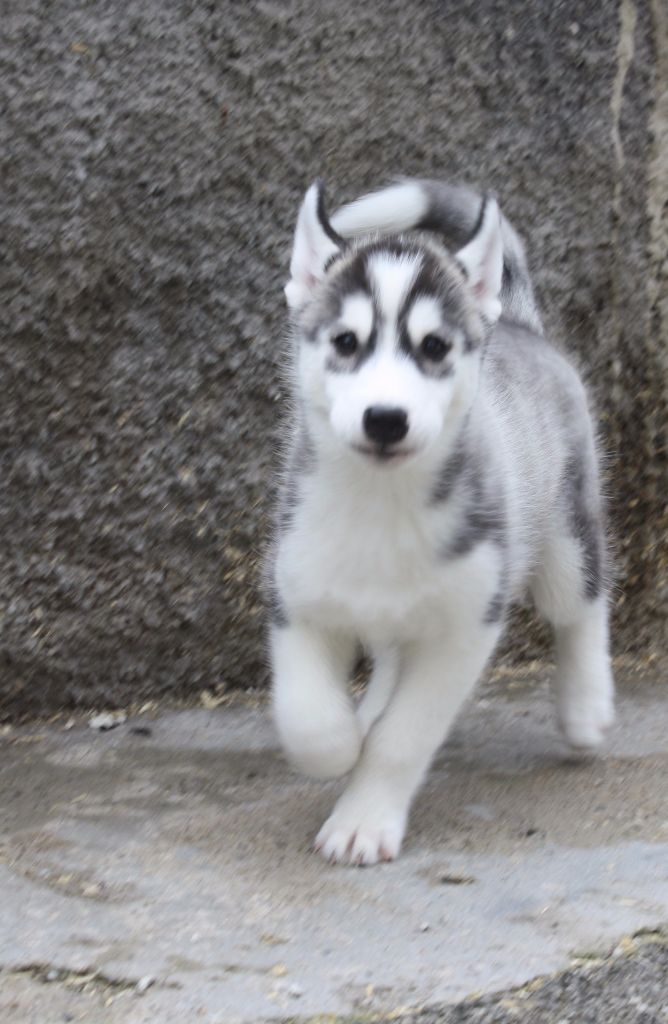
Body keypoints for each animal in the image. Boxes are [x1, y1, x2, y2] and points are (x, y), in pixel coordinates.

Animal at [267, 178, 614, 866]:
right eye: (345, 342)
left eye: (433, 347)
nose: (385, 419)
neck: (383, 501)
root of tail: (515, 323)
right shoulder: (300, 598)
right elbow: (309, 718)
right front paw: (340, 746)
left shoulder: (466, 624)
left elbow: (402, 737)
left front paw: (363, 819)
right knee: (390, 659)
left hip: (566, 534)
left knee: (581, 607)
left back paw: (586, 705)